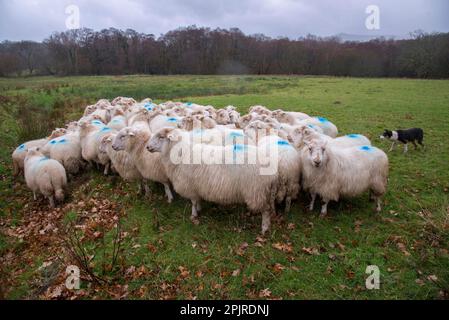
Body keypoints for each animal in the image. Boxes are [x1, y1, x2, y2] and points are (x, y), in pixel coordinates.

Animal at [145, 127, 278, 235]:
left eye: (161, 137)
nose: (147, 147)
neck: (181, 153)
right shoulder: (197, 186)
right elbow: (197, 200)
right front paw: (199, 209)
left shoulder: (190, 186)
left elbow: (193, 202)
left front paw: (193, 215)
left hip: (256, 191)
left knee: (266, 210)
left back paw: (264, 229)